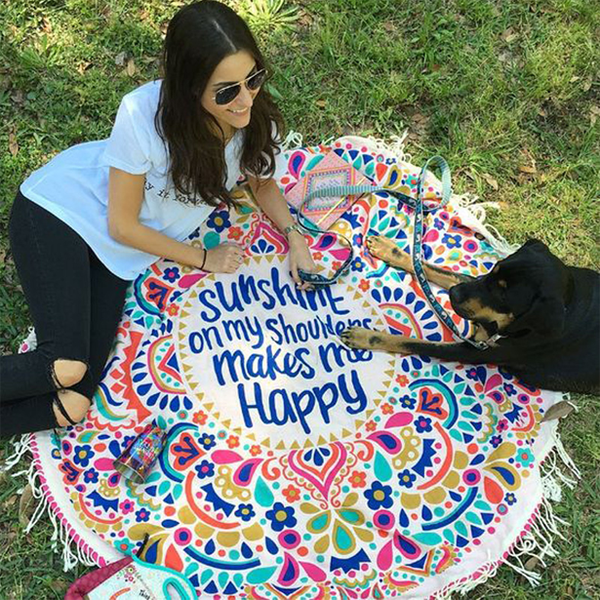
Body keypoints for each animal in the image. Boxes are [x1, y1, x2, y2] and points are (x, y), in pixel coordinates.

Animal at [342, 237, 600, 396]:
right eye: (493, 268)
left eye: (504, 296)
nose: (453, 295)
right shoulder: (471, 285)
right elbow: (434, 270)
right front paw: (391, 250)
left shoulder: (474, 351)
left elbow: (411, 342)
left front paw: (364, 336)